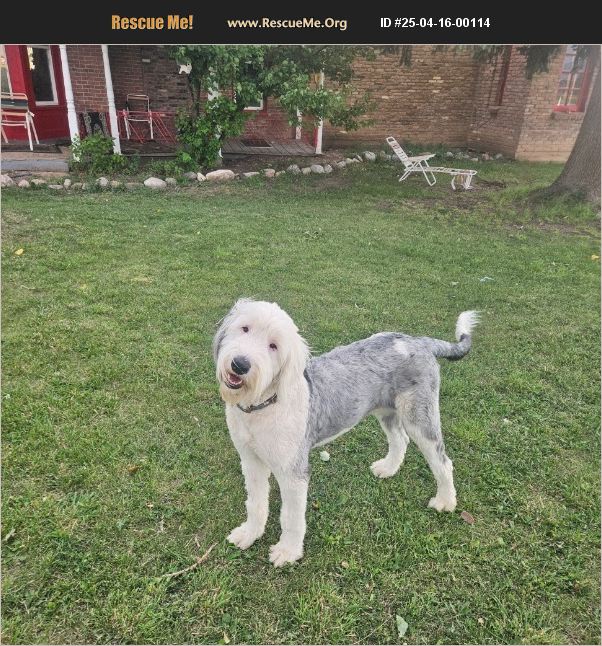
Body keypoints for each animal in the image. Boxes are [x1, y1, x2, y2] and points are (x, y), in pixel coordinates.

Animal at [213, 299, 479, 566]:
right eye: (245, 328)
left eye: (273, 346)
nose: (240, 364)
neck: (261, 405)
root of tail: (418, 341)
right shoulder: (251, 461)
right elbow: (255, 502)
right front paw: (249, 534)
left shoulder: (293, 472)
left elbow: (291, 517)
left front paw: (287, 552)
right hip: (386, 411)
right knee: (400, 439)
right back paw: (388, 469)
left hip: (419, 416)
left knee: (442, 461)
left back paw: (445, 501)